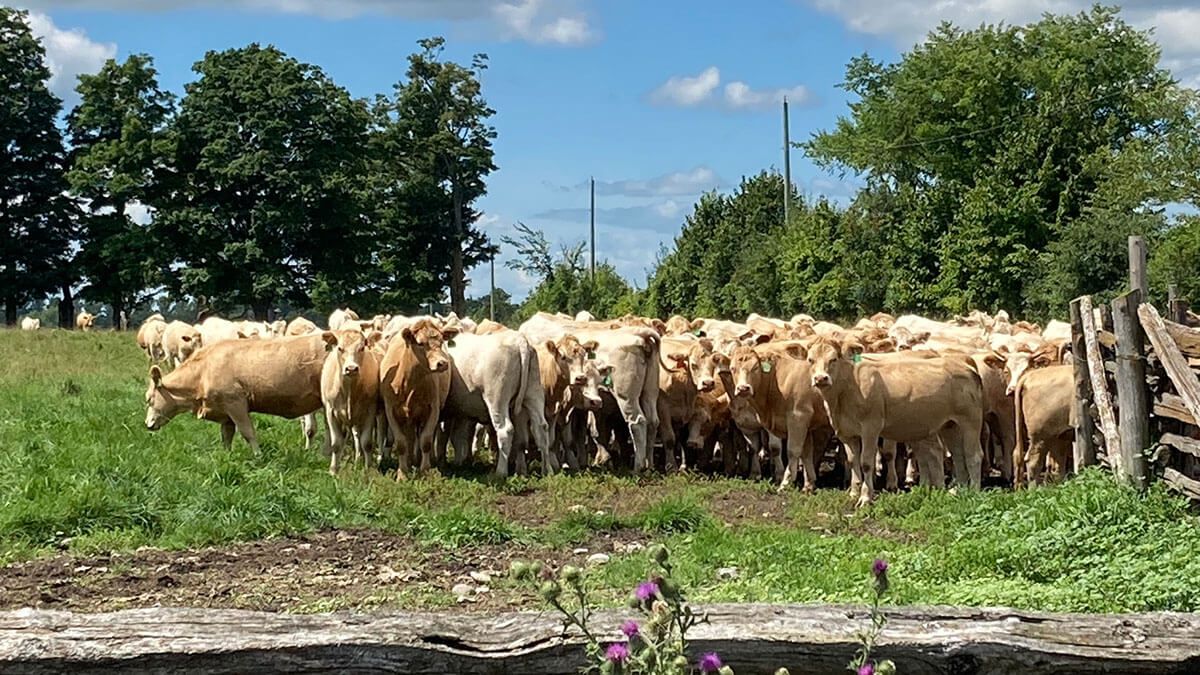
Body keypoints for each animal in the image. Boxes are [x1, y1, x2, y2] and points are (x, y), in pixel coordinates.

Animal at [144, 334, 326, 452]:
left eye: (149, 399)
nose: (148, 424)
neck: (203, 371)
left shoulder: (235, 404)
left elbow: (248, 433)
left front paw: (258, 456)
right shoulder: (224, 412)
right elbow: (226, 435)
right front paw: (227, 456)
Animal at [320, 329, 382, 475]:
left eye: (362, 348)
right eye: (340, 348)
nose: (351, 368)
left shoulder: (370, 412)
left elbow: (367, 443)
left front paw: (368, 469)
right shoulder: (331, 412)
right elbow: (336, 443)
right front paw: (333, 470)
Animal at [379, 318, 457, 480]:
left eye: (441, 341)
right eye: (420, 343)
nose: (442, 363)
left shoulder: (433, 409)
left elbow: (426, 441)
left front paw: (425, 471)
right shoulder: (391, 411)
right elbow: (401, 443)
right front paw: (402, 473)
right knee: (409, 438)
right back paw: (410, 462)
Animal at [806, 337, 985, 506]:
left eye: (833, 359)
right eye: (810, 360)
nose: (821, 378)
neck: (847, 388)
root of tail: (963, 362)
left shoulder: (871, 428)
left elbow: (866, 463)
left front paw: (865, 497)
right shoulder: (846, 433)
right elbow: (852, 461)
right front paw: (853, 493)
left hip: (971, 421)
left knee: (974, 455)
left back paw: (974, 491)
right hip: (949, 425)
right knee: (958, 455)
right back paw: (959, 489)